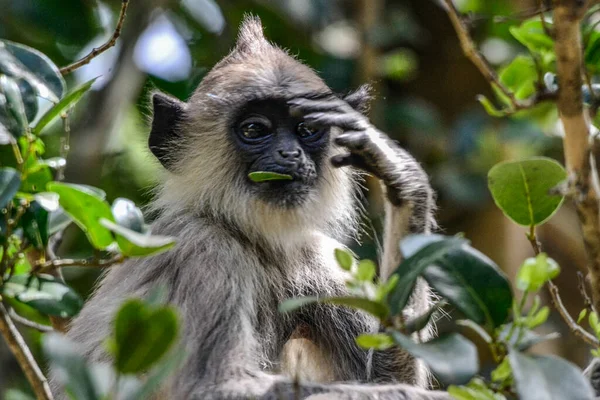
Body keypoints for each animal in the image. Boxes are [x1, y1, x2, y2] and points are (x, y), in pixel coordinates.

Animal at [52, 16, 450, 400]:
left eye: (306, 129)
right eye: (256, 130)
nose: (290, 154)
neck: (251, 240)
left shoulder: (317, 256)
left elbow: (382, 377)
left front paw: (402, 179)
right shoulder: (202, 249)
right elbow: (212, 387)